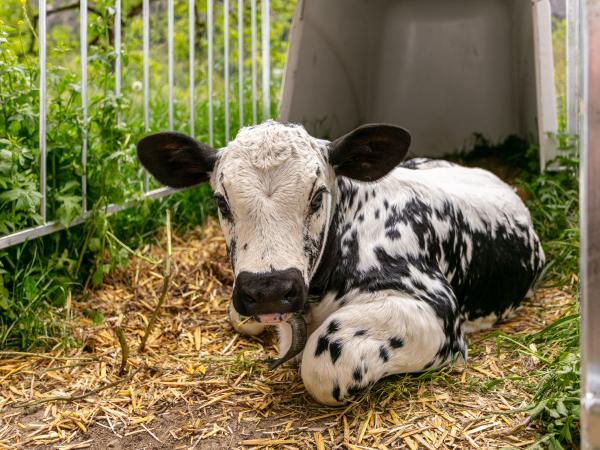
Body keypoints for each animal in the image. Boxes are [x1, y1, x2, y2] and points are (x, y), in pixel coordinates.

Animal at [138, 119, 548, 404]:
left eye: (318, 196)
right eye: (221, 201)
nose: (269, 291)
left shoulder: (437, 306)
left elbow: (321, 364)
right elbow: (240, 316)